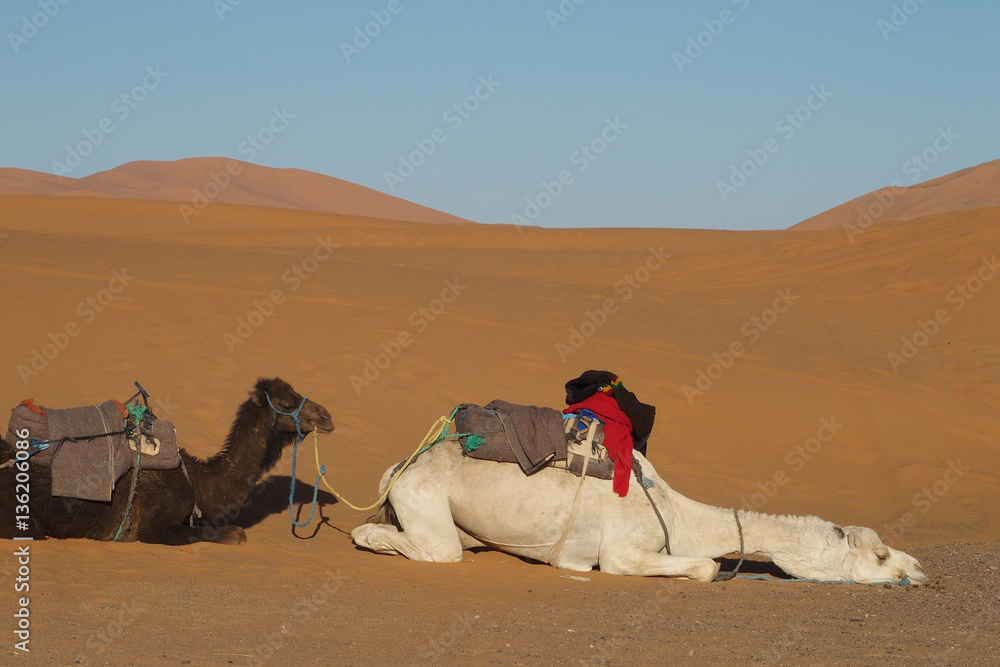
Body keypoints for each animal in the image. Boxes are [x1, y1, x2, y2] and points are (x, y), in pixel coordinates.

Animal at [1, 377, 334, 545]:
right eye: (286, 404)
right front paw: (233, 534)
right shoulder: (153, 527)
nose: (327, 416)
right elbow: (231, 534)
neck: (197, 480)